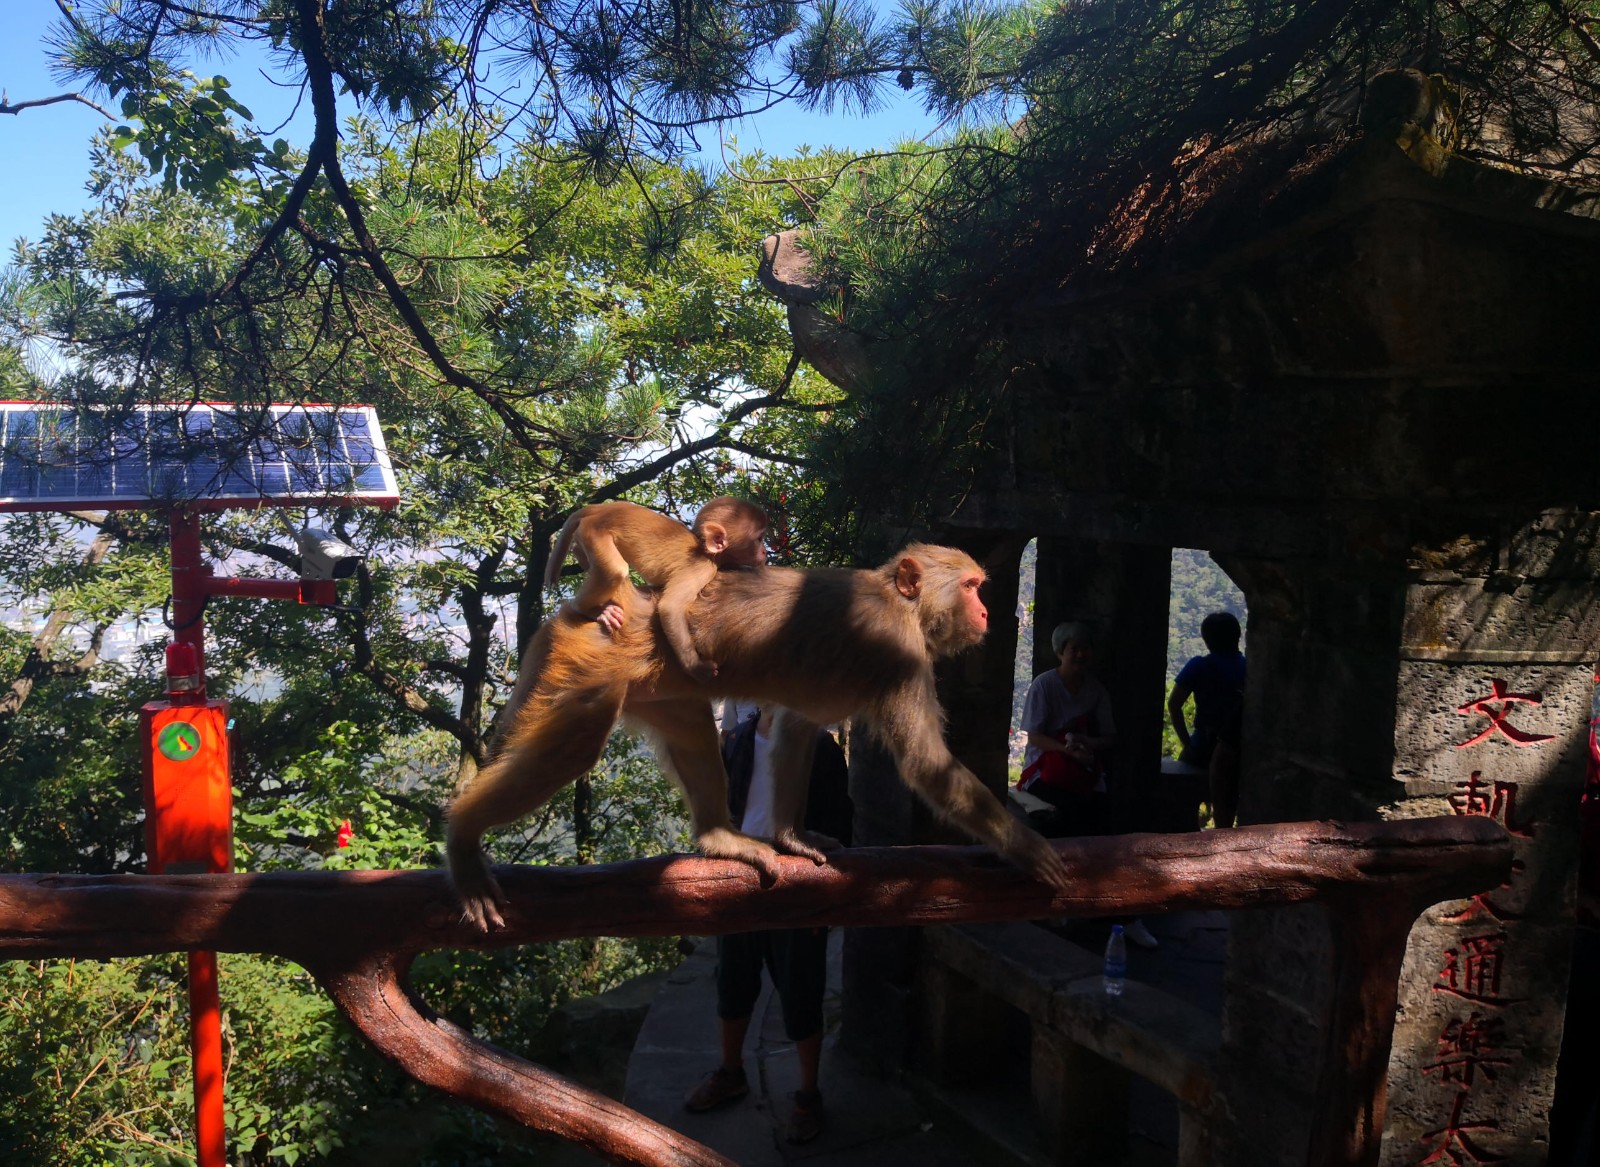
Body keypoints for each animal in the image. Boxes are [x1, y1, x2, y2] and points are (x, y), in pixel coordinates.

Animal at [449, 542, 1071, 933]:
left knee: (690, 727)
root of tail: (610, 603)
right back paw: (462, 835)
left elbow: (795, 725)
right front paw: (1026, 846)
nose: (987, 611)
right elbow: (925, 765)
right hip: (592, 662)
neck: (901, 603)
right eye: (969, 586)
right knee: (578, 741)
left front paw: (793, 837)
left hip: (656, 682)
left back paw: (719, 838)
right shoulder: (898, 652)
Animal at [544, 497, 768, 683]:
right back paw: (589, 609)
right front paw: (695, 667)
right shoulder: (701, 568)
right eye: (759, 539)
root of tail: (604, 510)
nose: (765, 552)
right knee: (615, 571)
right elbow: (670, 607)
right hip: (595, 532)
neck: (706, 550)